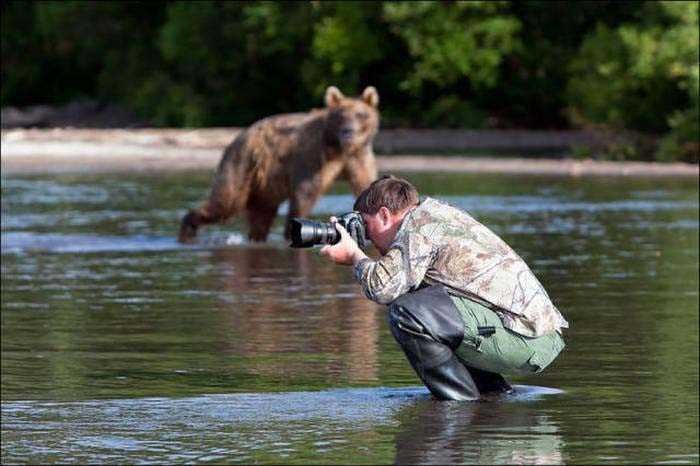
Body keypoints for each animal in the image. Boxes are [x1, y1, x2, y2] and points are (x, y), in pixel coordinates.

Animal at [178, 85, 380, 242]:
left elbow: (364, 184)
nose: (348, 132)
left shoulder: (358, 158)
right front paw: (292, 231)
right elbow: (305, 193)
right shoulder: (313, 156)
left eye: (361, 114)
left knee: (261, 216)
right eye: (340, 115)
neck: (338, 148)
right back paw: (187, 231)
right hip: (241, 164)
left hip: (265, 185)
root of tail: (238, 137)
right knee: (225, 203)